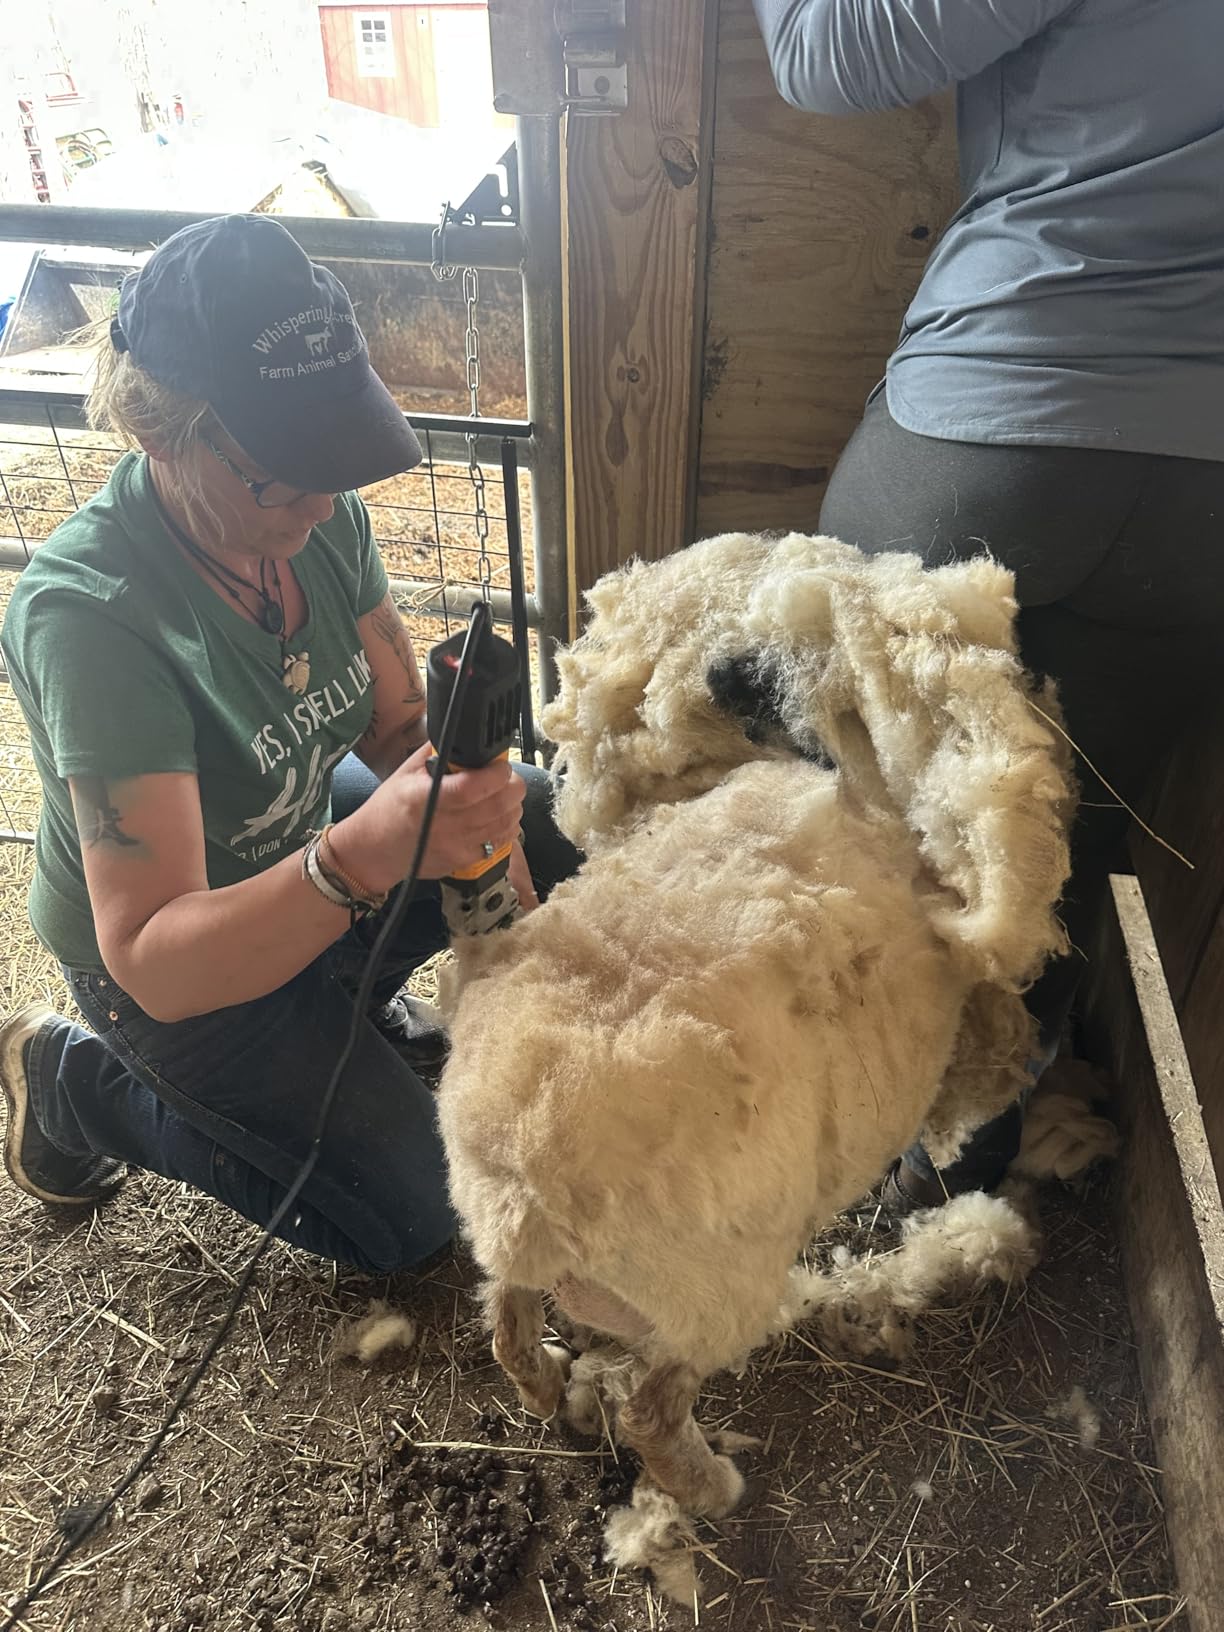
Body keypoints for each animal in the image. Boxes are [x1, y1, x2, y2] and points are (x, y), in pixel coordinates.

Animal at [435, 530, 1073, 1518]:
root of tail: (521, 1203)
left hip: (530, 1266)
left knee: (504, 1320)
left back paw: (547, 1388)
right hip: (712, 1297)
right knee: (650, 1406)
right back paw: (709, 1485)